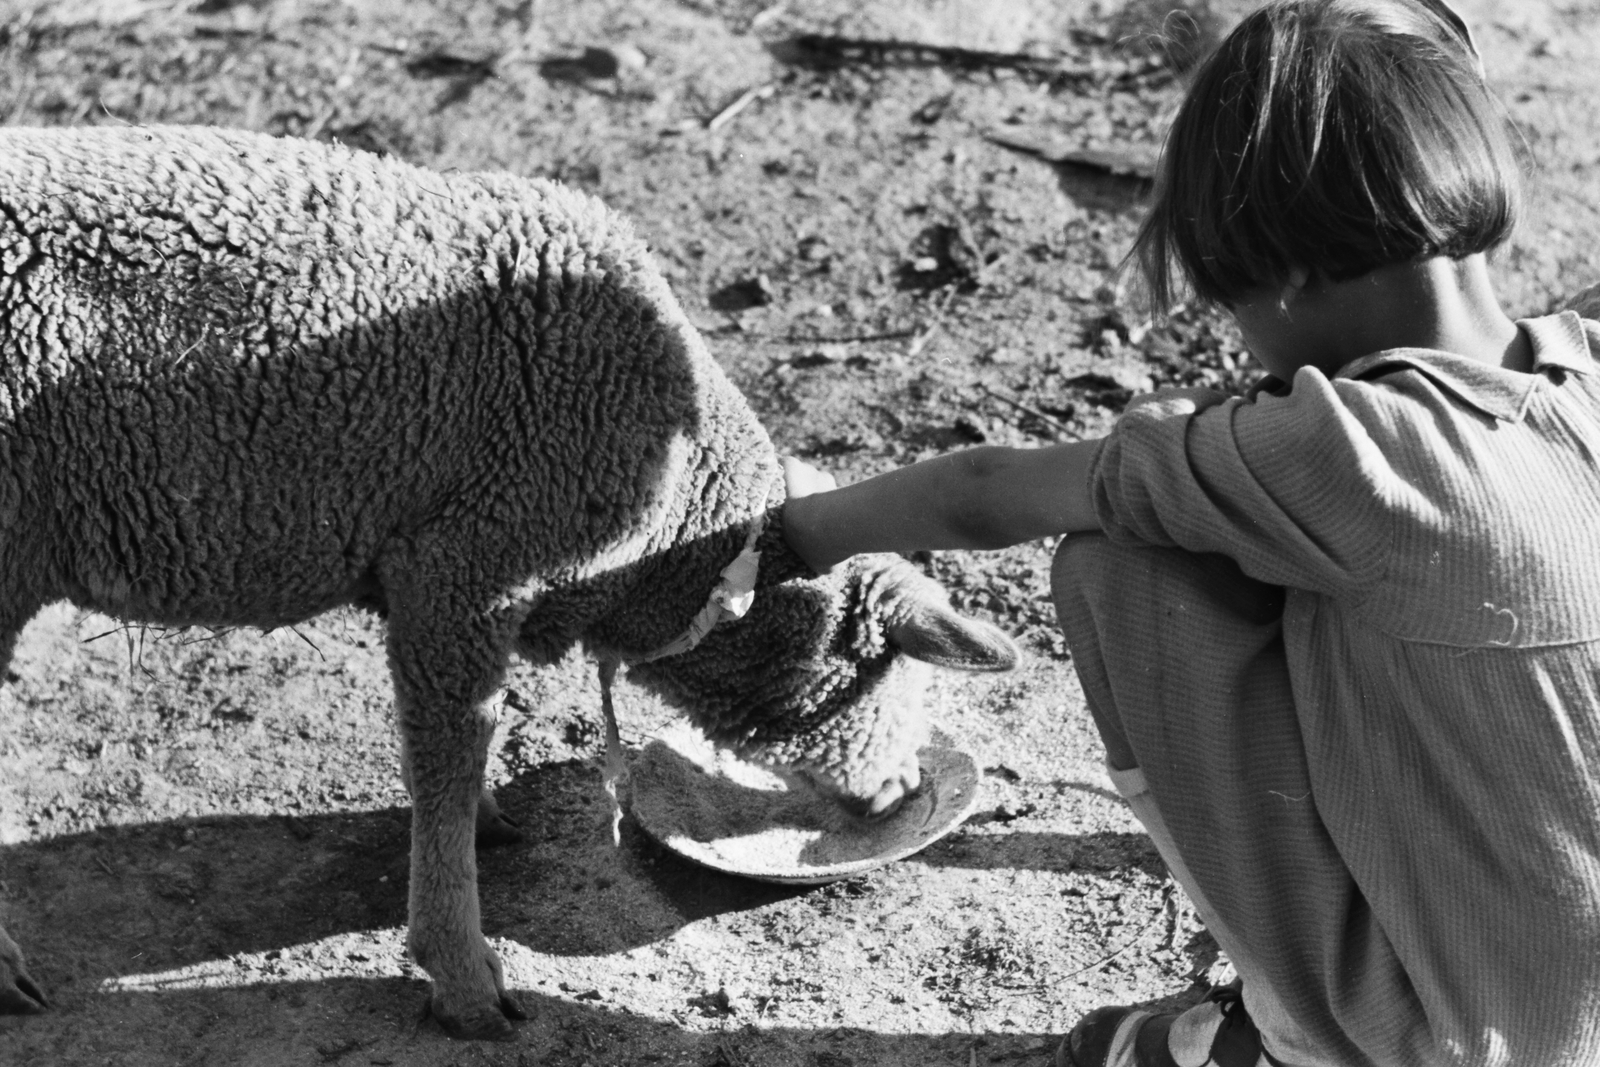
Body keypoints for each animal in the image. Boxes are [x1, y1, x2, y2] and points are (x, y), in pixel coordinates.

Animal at [0, 125, 1018, 1039]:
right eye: (888, 674)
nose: (900, 791)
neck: (674, 530)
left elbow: (451, 751)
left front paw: (481, 830)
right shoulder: (463, 566)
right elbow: (452, 750)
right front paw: (461, 970)